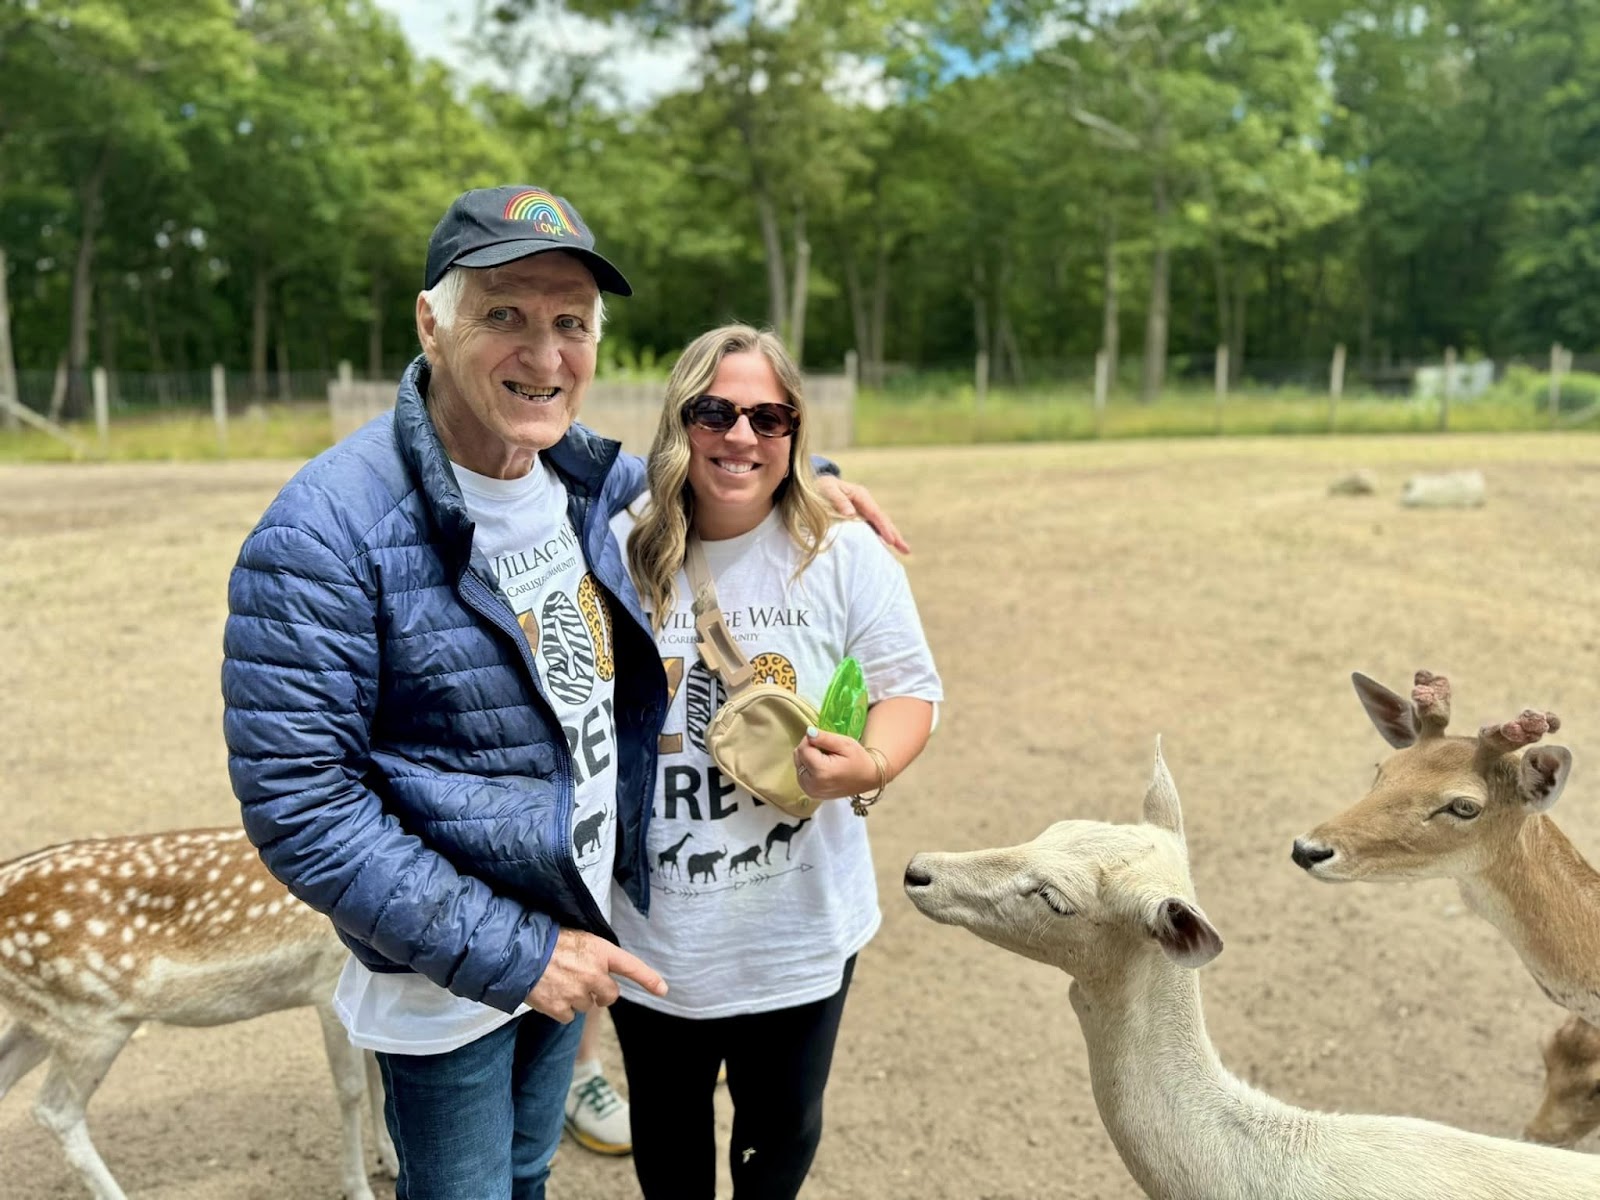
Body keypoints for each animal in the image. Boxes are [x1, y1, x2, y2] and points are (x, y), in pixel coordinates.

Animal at [0, 825, 396, 1200]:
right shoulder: (328, 985)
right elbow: (351, 1089)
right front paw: (357, 1189)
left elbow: (378, 1073)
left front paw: (390, 1161)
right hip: (92, 1022)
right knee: (56, 1110)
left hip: (47, 1020)